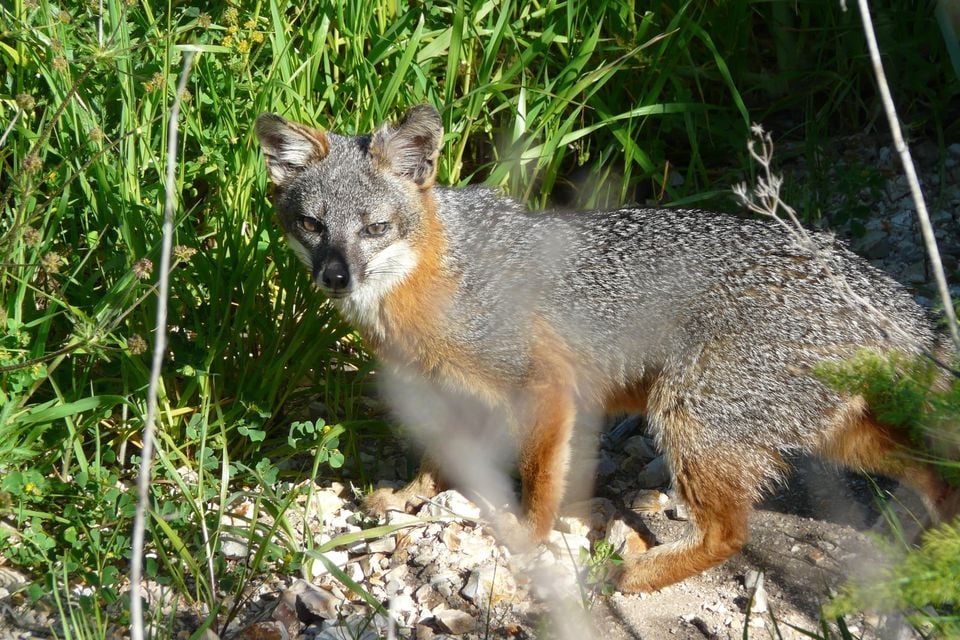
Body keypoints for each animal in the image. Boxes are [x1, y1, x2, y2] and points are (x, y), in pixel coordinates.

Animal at [254, 104, 959, 592]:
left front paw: (526, 536)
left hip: (688, 416)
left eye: (375, 228)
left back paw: (634, 576)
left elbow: (540, 480)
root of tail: (865, 284)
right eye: (312, 225)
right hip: (834, 433)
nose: (336, 275)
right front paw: (408, 497)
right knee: (934, 474)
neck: (437, 272)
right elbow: (439, 455)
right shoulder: (459, 390)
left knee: (732, 533)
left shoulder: (544, 386)